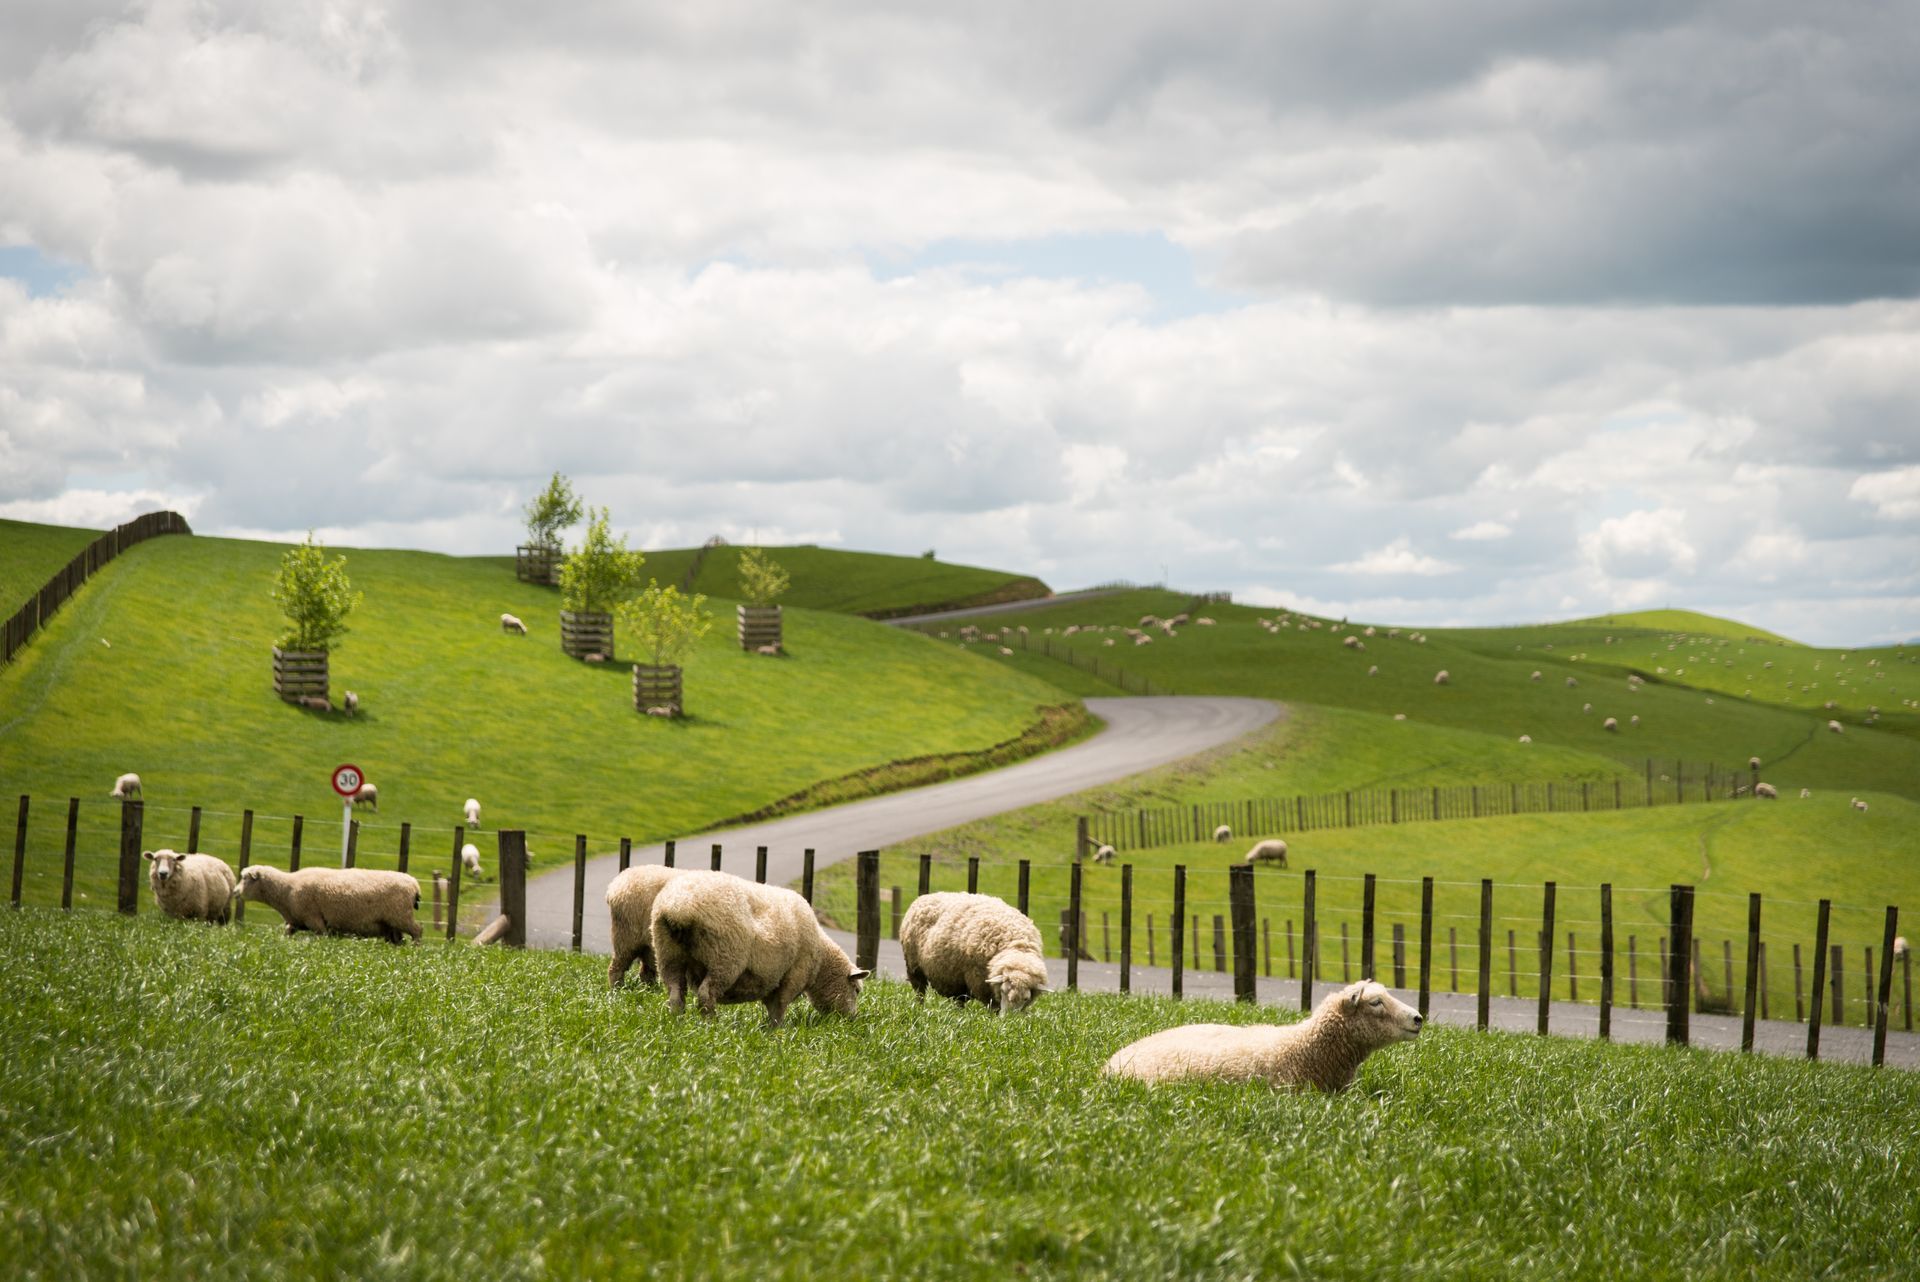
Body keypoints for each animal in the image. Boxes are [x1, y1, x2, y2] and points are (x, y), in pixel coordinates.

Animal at [231, 866, 422, 944]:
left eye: (246, 878)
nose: (234, 892)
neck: (286, 888)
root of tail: (413, 883)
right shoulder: (295, 921)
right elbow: (286, 933)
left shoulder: (314, 919)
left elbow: (321, 937)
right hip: (392, 925)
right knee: (399, 940)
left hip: (400, 916)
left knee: (418, 931)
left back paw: (415, 950)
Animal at [650, 871, 868, 1025]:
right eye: (856, 990)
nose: (852, 1020)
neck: (821, 961)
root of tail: (679, 907)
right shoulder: (792, 976)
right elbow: (778, 1007)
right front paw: (777, 1032)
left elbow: (772, 1006)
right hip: (724, 958)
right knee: (706, 994)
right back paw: (711, 1024)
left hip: (668, 954)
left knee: (675, 993)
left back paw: (677, 1022)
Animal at [899, 892, 1050, 1014]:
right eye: (1003, 991)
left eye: (1026, 998)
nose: (1008, 1019)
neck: (1017, 946)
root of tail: (925, 896)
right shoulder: (980, 982)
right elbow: (993, 1007)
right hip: (914, 968)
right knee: (920, 992)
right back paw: (920, 1009)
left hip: (957, 978)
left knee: (959, 1000)